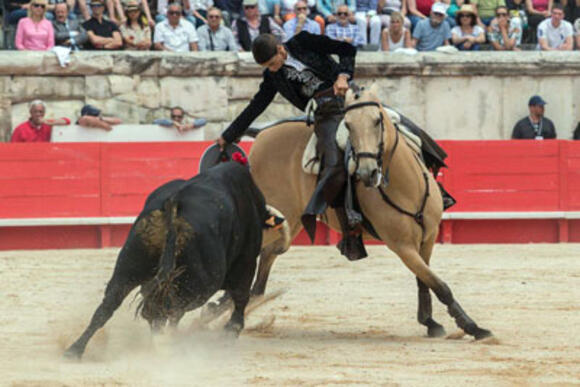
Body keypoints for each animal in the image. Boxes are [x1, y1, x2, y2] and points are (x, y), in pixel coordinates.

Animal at [64, 162, 274, 360]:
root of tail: (173, 205)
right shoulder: (246, 261)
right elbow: (240, 297)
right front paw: (230, 332)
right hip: (197, 284)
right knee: (168, 311)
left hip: (127, 268)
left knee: (109, 307)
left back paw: (74, 350)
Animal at [247, 84, 492, 340]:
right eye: (347, 125)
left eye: (377, 120)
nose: (367, 172)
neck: (407, 186)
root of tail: (261, 135)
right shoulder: (402, 246)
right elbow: (438, 284)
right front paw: (472, 327)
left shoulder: (429, 237)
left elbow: (424, 280)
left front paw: (430, 322)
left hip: (291, 220)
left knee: (269, 253)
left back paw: (251, 301)